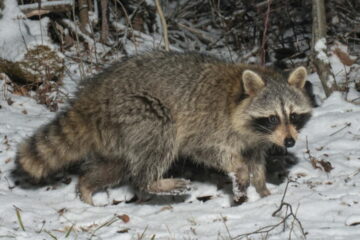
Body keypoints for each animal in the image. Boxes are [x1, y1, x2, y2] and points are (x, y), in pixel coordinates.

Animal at [14, 50, 312, 204]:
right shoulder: (209, 125)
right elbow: (207, 151)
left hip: (116, 133)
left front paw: (262, 190)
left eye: (293, 115)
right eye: (272, 117)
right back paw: (152, 182)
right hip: (135, 110)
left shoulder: (256, 139)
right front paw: (239, 170)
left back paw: (87, 186)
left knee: (115, 167)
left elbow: (255, 160)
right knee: (159, 138)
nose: (289, 142)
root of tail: (90, 95)